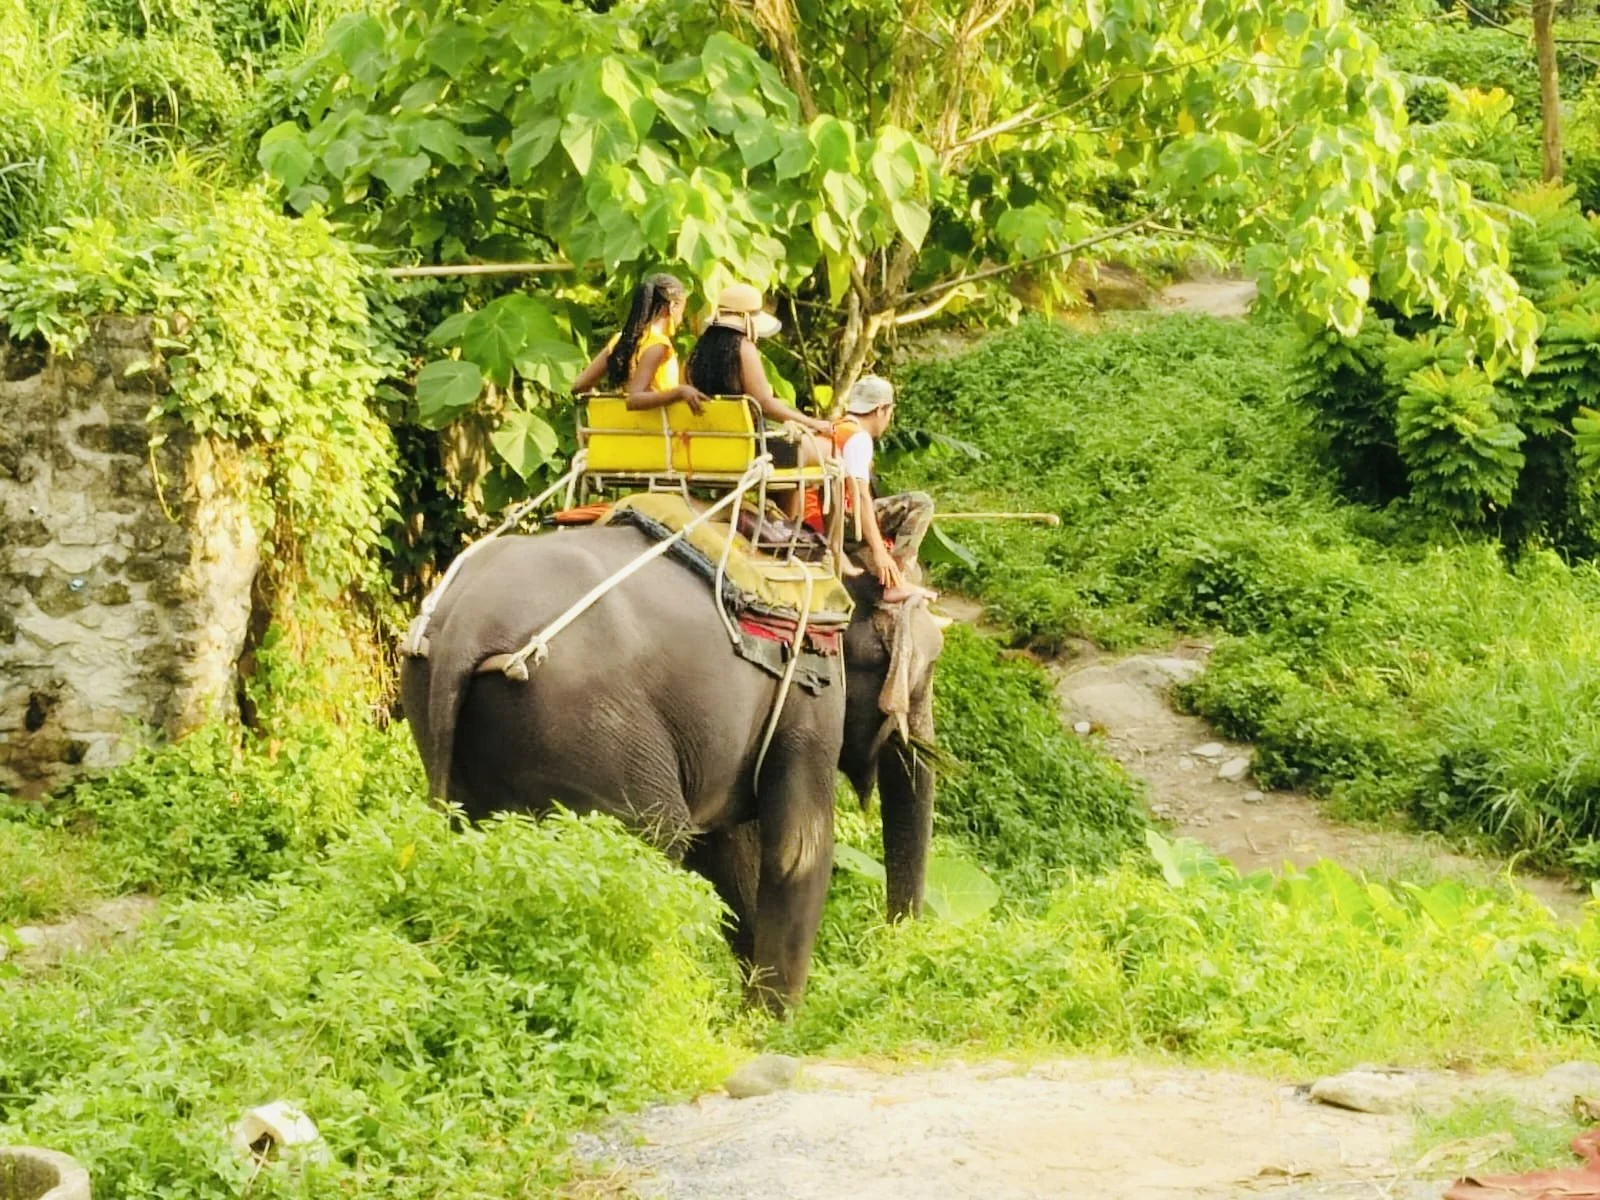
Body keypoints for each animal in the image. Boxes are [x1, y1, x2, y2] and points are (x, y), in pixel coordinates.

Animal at [399, 522, 944, 1011]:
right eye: (930, 665)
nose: (893, 952)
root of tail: (470, 624)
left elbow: (729, 852)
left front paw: (750, 1018)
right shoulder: (809, 687)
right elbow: (798, 849)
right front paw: (777, 1027)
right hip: (590, 724)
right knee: (659, 835)